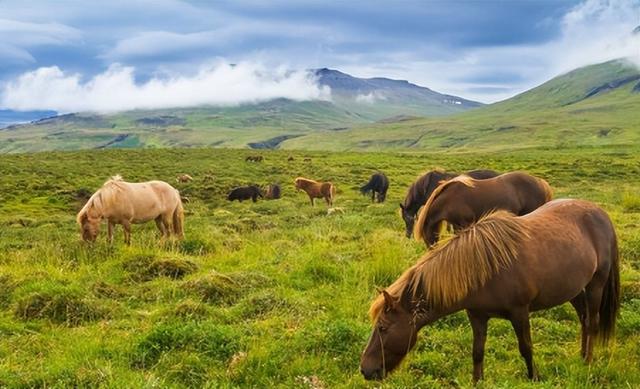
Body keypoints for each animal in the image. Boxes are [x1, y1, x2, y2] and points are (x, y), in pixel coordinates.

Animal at [360, 200, 616, 382]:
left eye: (382, 328)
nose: (365, 369)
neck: (484, 269)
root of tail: (600, 213)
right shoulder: (477, 316)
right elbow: (477, 352)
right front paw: (477, 381)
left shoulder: (520, 312)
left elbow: (526, 348)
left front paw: (534, 377)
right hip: (574, 289)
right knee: (584, 319)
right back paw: (582, 354)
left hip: (595, 285)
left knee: (593, 322)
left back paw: (588, 361)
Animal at [416, 171, 552, 246]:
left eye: (425, 236)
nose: (430, 249)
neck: (450, 198)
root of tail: (540, 182)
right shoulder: (457, 225)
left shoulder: (465, 223)